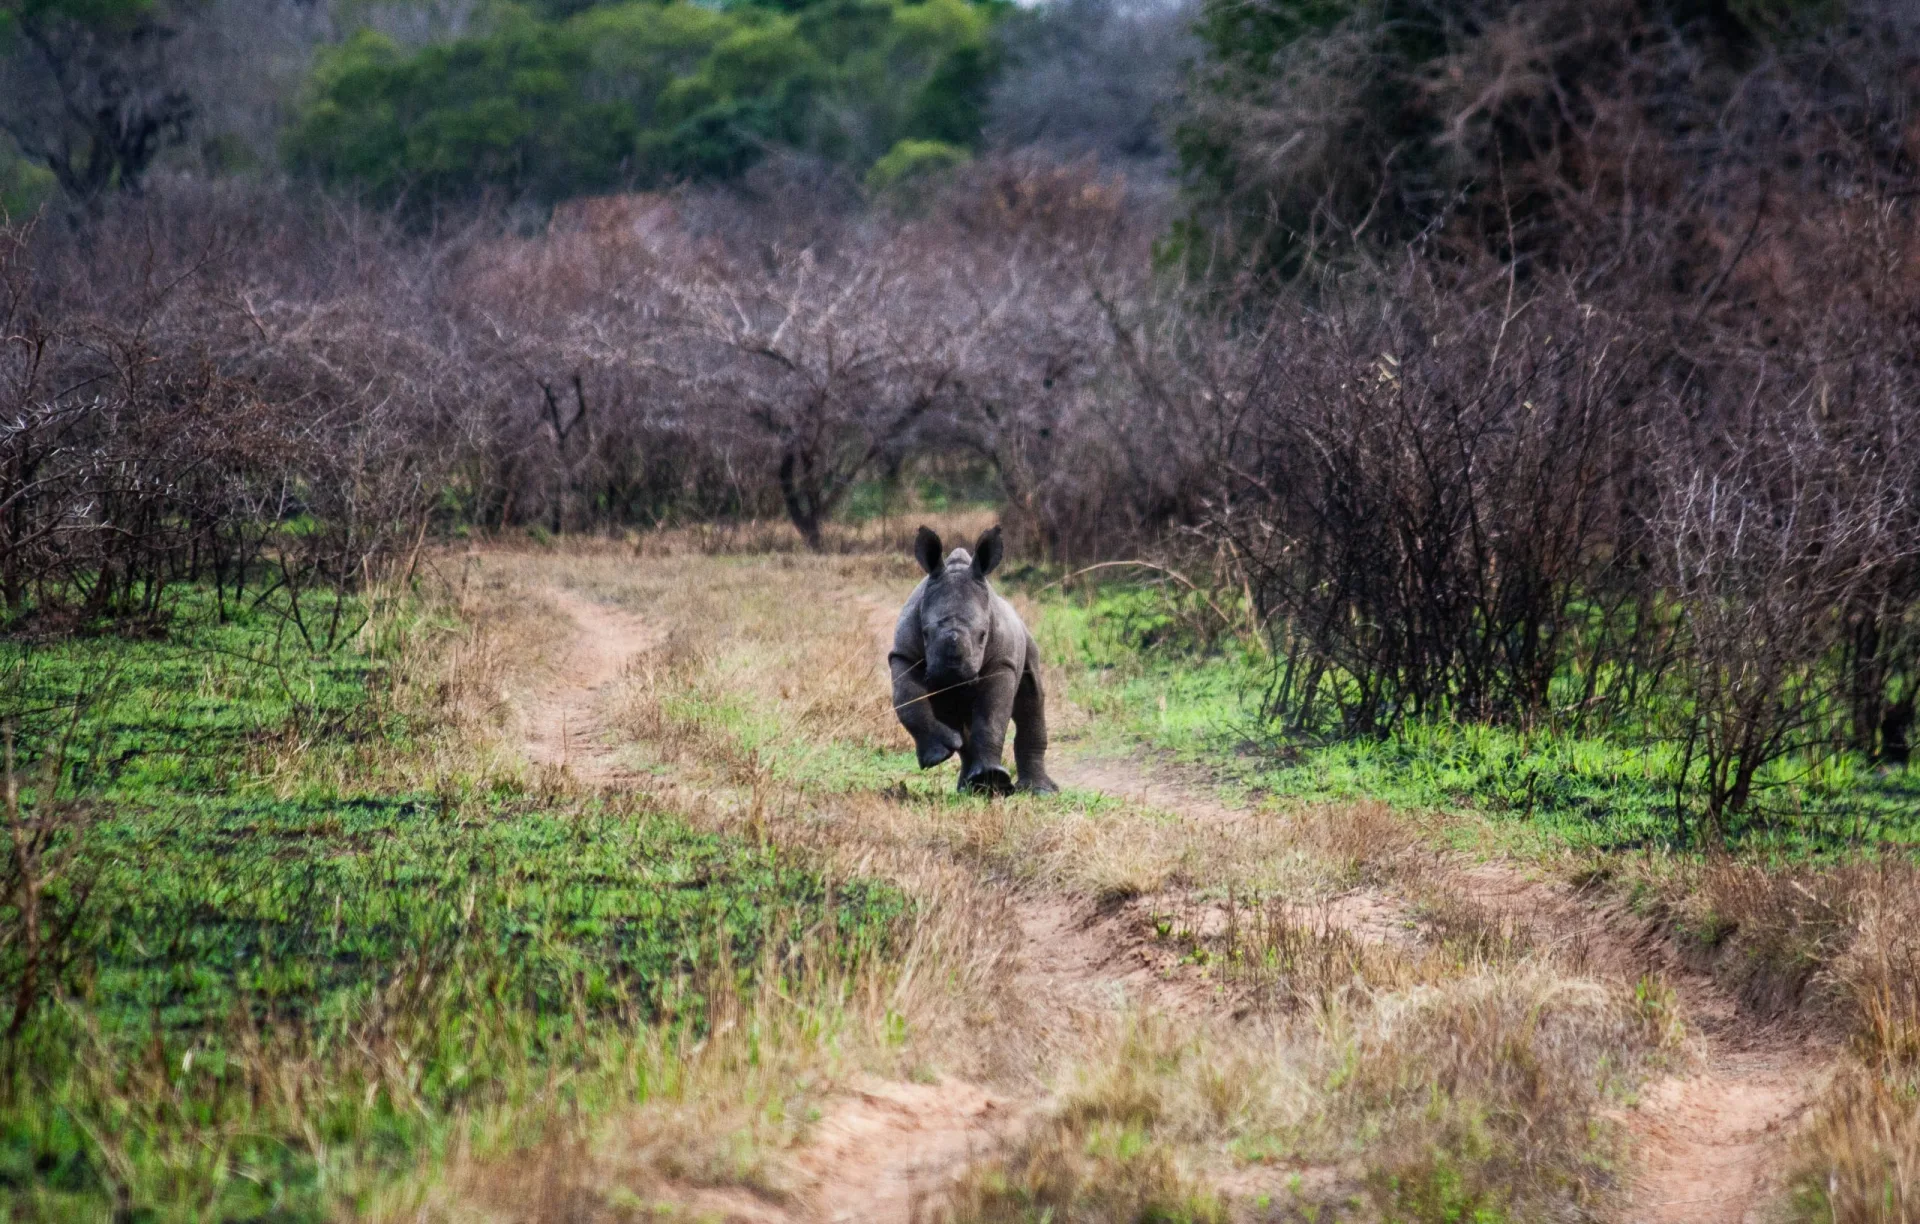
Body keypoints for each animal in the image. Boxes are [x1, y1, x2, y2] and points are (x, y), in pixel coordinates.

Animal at [889, 525, 1057, 796]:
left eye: (983, 635)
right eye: (925, 633)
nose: (952, 672)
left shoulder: (1002, 662)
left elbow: (991, 717)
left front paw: (993, 779)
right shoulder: (903, 654)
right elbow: (907, 700)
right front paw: (937, 757)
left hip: (1027, 641)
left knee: (1031, 700)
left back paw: (1036, 791)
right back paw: (970, 787)